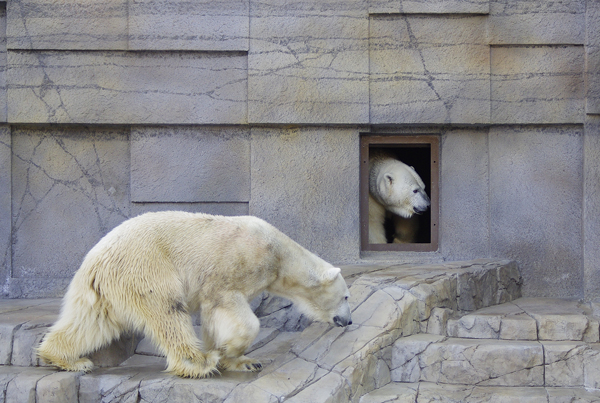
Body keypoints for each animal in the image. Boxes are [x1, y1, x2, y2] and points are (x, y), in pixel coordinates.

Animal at [37, 211, 352, 378]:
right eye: (347, 297)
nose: (348, 321)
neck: (277, 253)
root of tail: (95, 258)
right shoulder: (232, 268)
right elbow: (235, 311)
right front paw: (226, 353)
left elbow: (214, 316)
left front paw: (241, 360)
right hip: (146, 267)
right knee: (167, 311)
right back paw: (198, 362)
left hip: (105, 288)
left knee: (91, 322)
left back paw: (67, 359)